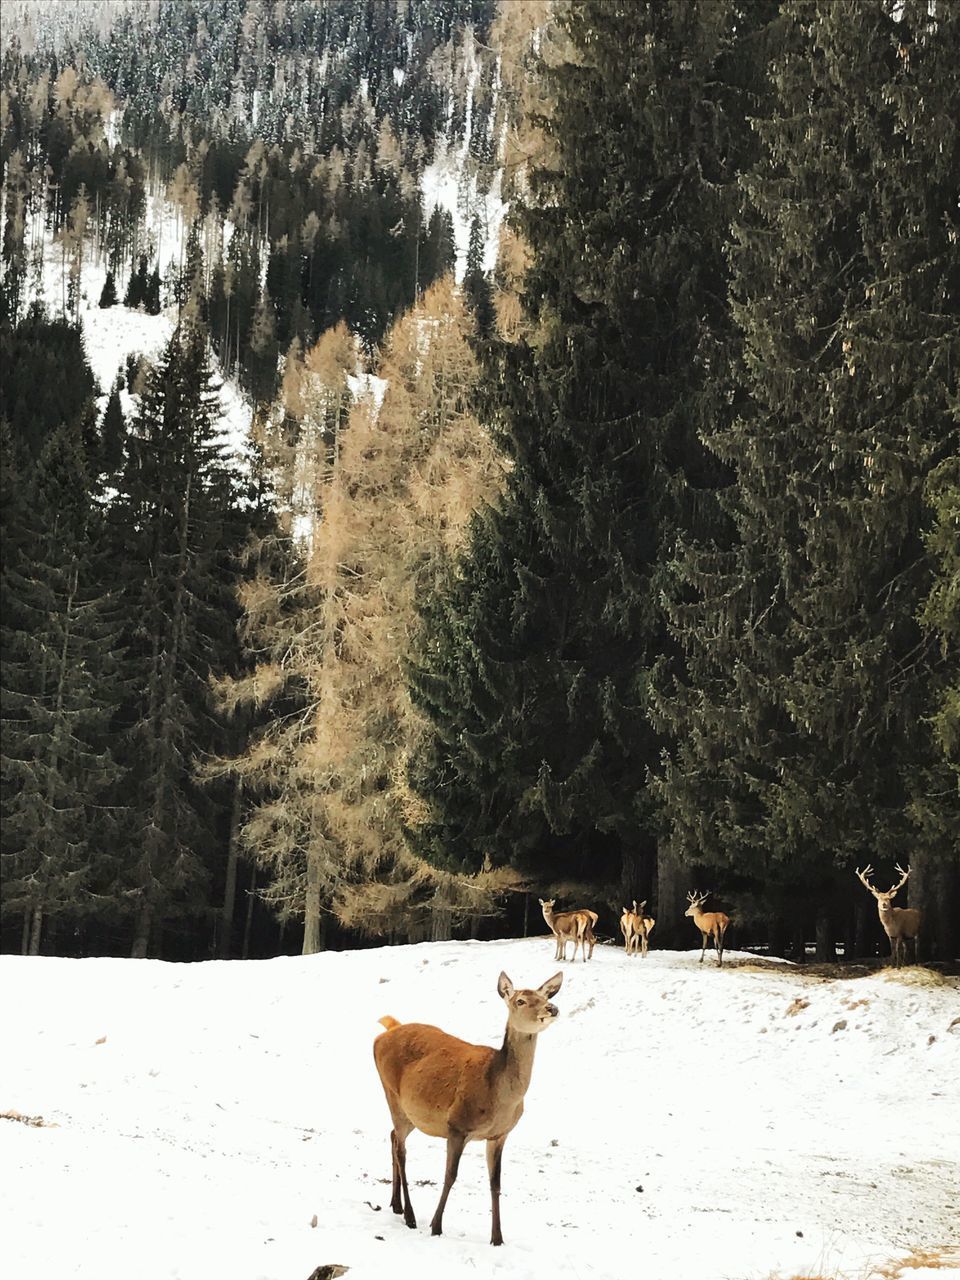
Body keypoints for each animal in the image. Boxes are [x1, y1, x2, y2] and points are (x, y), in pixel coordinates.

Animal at [371, 972, 563, 1244]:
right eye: (521, 1000)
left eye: (545, 996)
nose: (552, 1008)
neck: (501, 1099)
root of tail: (387, 1030)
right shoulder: (457, 1125)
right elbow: (450, 1176)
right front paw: (436, 1226)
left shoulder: (499, 1135)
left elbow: (496, 1183)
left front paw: (497, 1238)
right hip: (392, 1095)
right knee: (401, 1149)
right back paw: (409, 1215)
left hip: (412, 1114)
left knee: (392, 1137)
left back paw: (396, 1204)